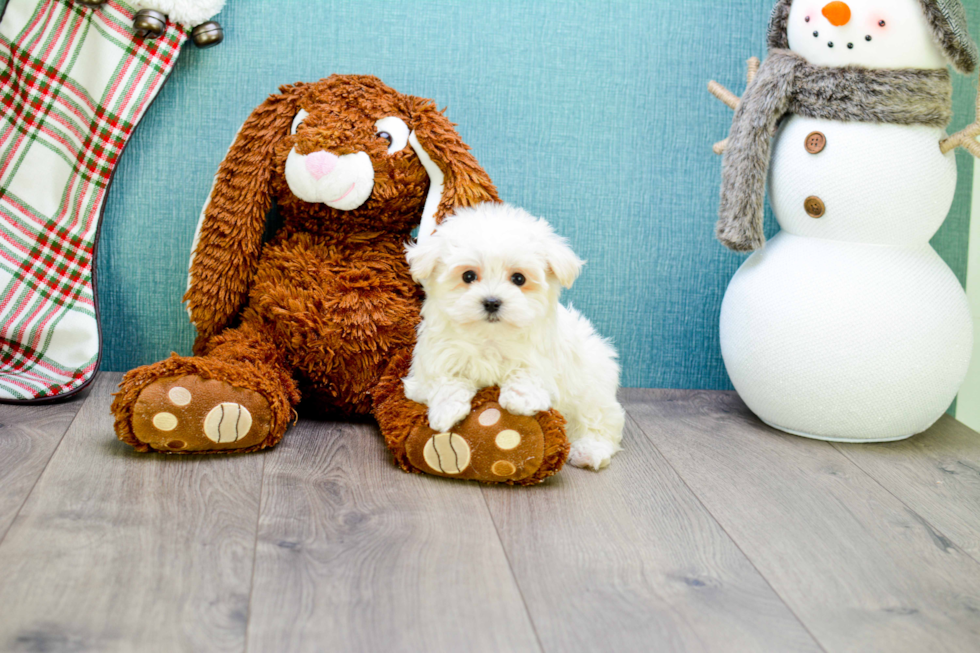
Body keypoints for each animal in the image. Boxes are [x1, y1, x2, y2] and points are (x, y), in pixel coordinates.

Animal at [402, 204, 624, 468]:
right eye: (468, 276)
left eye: (519, 278)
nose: (492, 301)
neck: (490, 337)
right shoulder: (431, 365)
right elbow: (446, 380)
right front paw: (447, 411)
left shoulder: (544, 359)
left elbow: (529, 372)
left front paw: (520, 399)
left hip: (592, 387)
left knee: (600, 422)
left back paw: (589, 451)